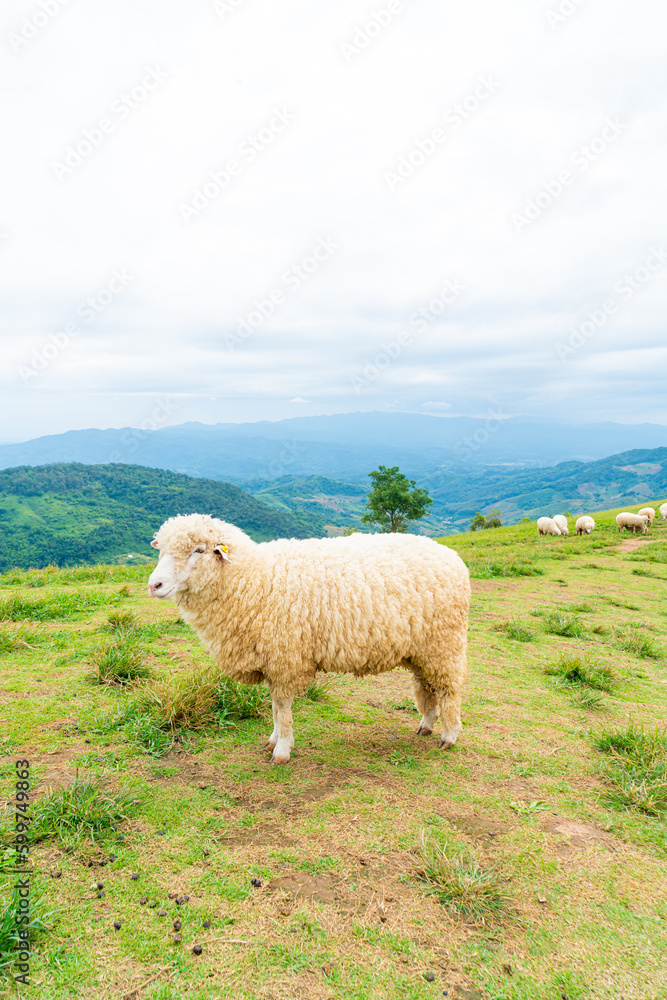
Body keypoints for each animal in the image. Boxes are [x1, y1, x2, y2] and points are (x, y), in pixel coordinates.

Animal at [147, 514, 471, 765]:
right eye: (161, 550)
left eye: (198, 550)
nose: (154, 585)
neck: (253, 579)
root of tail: (450, 554)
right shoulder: (272, 660)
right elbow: (275, 708)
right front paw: (273, 740)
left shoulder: (284, 656)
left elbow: (282, 708)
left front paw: (281, 750)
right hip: (421, 650)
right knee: (427, 687)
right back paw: (426, 725)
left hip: (445, 643)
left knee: (450, 689)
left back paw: (449, 736)